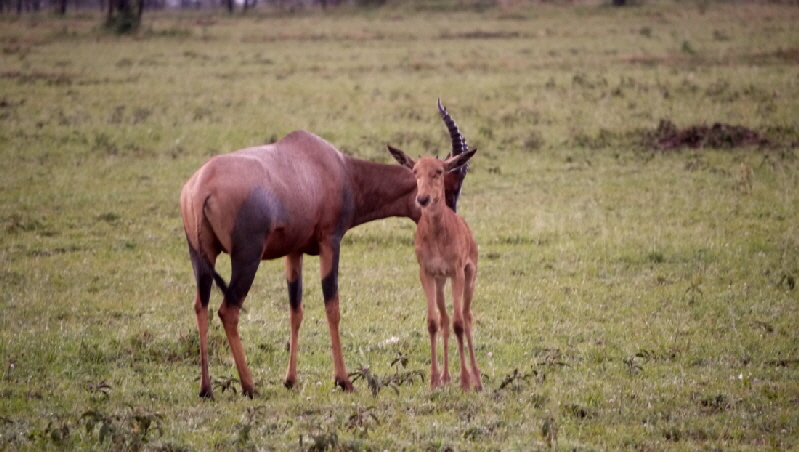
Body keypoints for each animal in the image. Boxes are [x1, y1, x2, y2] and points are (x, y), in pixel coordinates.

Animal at [178, 100, 472, 400]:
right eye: (451, 185)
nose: (453, 229)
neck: (337, 168)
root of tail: (201, 188)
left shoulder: (294, 251)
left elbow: (296, 310)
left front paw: (291, 380)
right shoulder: (330, 242)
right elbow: (333, 306)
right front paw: (344, 381)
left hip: (201, 257)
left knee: (201, 306)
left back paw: (206, 389)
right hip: (247, 257)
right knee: (228, 310)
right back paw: (250, 387)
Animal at [388, 146, 482, 392]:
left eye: (439, 171)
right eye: (415, 171)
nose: (423, 199)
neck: (439, 235)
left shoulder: (457, 273)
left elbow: (459, 324)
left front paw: (465, 382)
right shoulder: (427, 274)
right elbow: (433, 323)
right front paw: (433, 381)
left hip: (469, 277)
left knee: (466, 317)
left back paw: (477, 380)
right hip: (441, 283)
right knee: (445, 319)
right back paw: (446, 377)